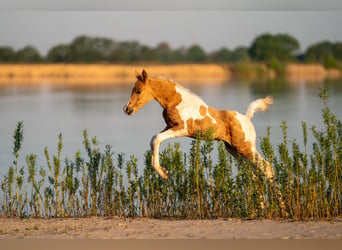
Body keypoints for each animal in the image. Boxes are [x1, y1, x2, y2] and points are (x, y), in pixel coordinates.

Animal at [125, 70, 286, 213]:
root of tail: (247, 118)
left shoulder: (181, 129)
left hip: (245, 148)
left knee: (267, 168)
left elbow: (156, 139)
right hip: (234, 150)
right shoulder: (169, 127)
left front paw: (163, 173)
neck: (176, 101)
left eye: (138, 91)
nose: (127, 109)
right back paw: (261, 207)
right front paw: (163, 171)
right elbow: (153, 139)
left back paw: (282, 208)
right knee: (254, 173)